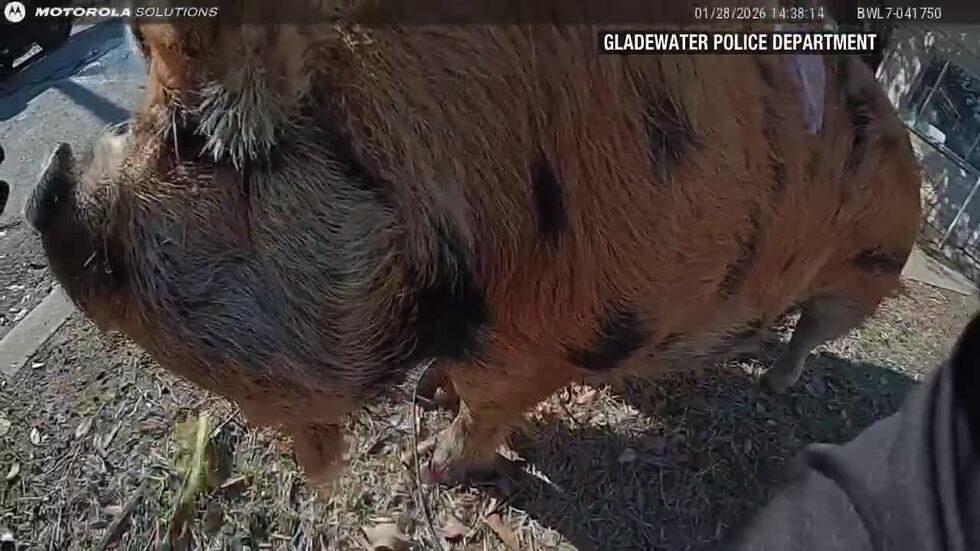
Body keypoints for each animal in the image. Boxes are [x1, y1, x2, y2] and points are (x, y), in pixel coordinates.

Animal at [24, 10, 922, 487]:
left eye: (194, 142)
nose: (41, 186)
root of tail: (913, 155)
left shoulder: (552, 338)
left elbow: (491, 408)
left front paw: (433, 463)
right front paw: (429, 395)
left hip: (869, 276)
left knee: (812, 331)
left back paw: (776, 380)